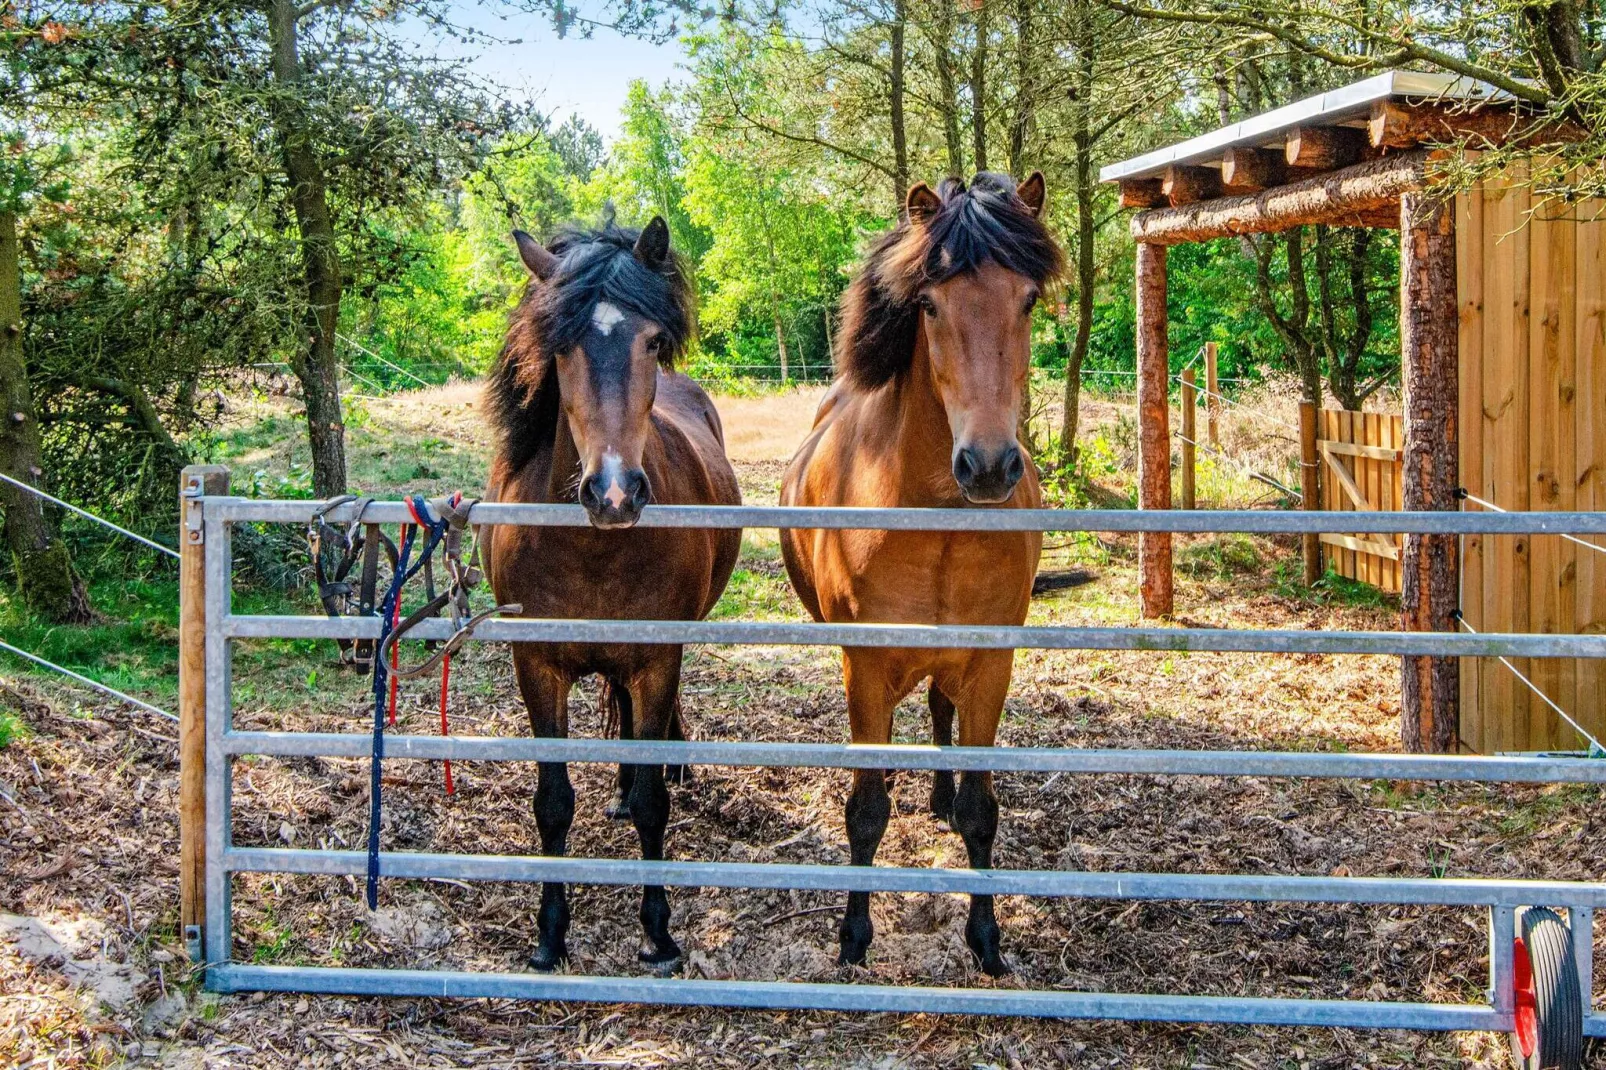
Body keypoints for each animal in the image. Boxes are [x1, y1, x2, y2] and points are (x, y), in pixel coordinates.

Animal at [485, 215, 741, 963]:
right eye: (560, 344)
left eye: (651, 341)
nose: (615, 493)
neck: (593, 551)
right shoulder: (536, 667)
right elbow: (552, 803)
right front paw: (549, 934)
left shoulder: (656, 657)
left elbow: (655, 800)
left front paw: (657, 932)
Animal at [780, 172, 1059, 976]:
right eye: (929, 303)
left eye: (1028, 298)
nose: (989, 466)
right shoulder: (867, 668)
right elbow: (866, 811)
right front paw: (853, 936)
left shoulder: (992, 663)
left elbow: (981, 809)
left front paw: (986, 937)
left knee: (940, 711)